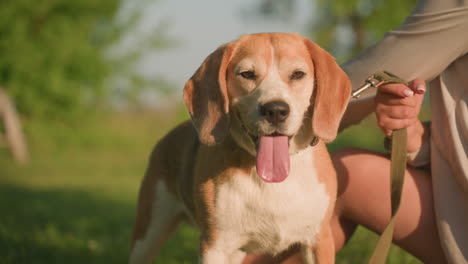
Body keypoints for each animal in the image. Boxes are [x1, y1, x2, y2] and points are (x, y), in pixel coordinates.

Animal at [130, 33, 350, 264]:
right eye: (247, 74)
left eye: (298, 74)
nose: (275, 110)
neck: (274, 181)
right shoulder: (214, 247)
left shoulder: (319, 240)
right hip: (147, 235)